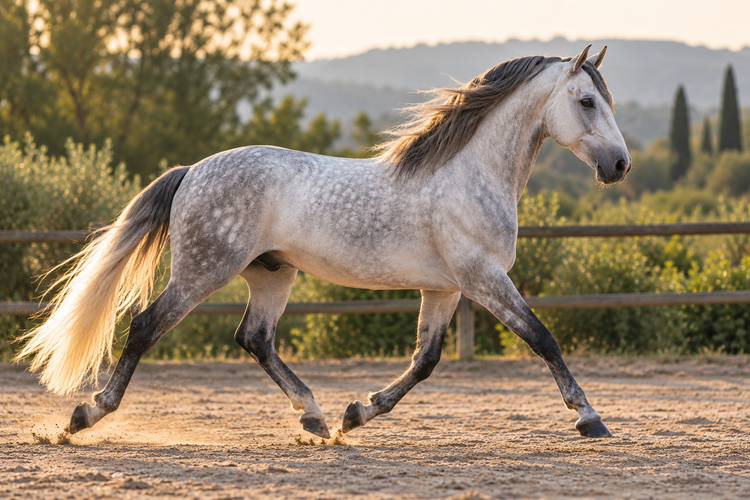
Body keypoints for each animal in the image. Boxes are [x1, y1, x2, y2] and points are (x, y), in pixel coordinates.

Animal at [17, 45, 629, 440]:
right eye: (586, 101)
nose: (619, 166)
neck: (468, 175)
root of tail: (193, 171)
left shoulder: (446, 289)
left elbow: (425, 361)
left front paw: (357, 413)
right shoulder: (484, 279)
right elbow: (543, 338)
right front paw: (589, 419)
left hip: (272, 273)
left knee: (254, 338)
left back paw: (313, 415)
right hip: (203, 271)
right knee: (146, 326)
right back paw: (85, 415)